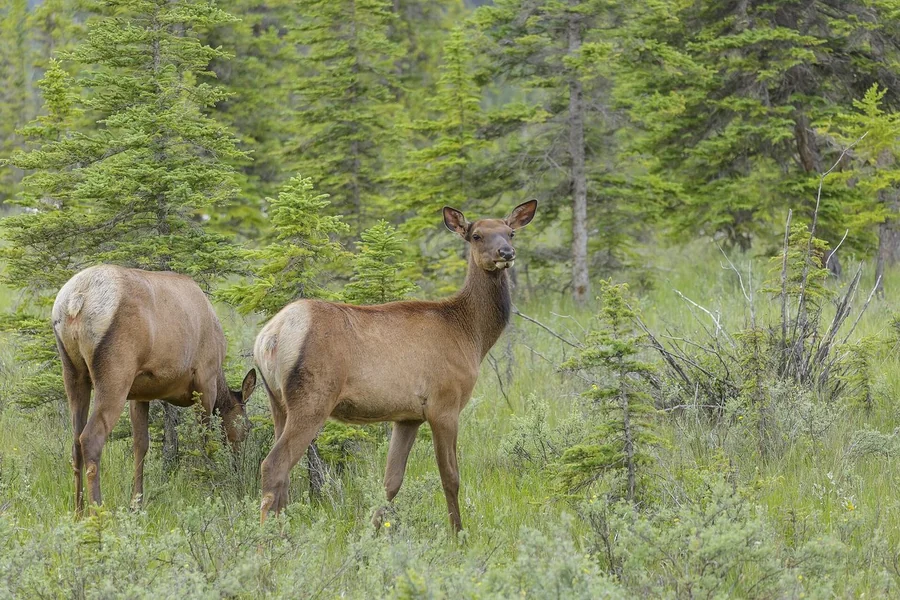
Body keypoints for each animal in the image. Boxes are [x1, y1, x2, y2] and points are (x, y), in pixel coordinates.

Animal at [52, 265, 257, 515]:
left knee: (74, 441)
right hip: (115, 373)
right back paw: (98, 511)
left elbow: (141, 445)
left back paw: (78, 512)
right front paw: (214, 485)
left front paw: (136, 503)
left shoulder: (139, 394)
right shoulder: (205, 380)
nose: (237, 468)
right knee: (91, 438)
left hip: (73, 372)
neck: (220, 378)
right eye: (248, 427)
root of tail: (76, 300)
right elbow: (206, 441)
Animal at [253, 200, 537, 531]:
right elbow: (450, 478)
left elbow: (391, 481)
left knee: (282, 475)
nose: (506, 253)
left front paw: (372, 531)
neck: (471, 334)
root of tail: (270, 336)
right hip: (312, 398)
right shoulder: (444, 403)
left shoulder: (408, 416)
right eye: (477, 235)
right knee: (274, 465)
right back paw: (267, 539)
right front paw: (458, 533)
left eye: (511, 232)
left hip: (277, 402)